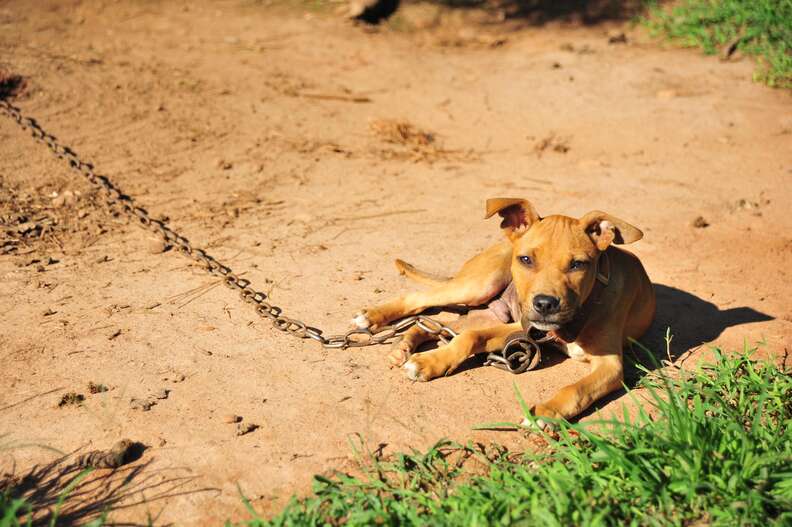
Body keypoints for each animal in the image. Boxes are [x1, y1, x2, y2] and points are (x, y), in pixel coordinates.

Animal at [354, 200, 656, 426]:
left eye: (578, 264)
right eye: (526, 259)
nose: (545, 304)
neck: (583, 309)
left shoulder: (610, 364)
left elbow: (577, 389)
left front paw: (545, 413)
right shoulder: (524, 326)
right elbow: (470, 338)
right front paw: (432, 361)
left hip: (491, 312)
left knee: (436, 324)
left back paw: (403, 347)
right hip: (479, 285)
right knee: (420, 300)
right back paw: (373, 318)